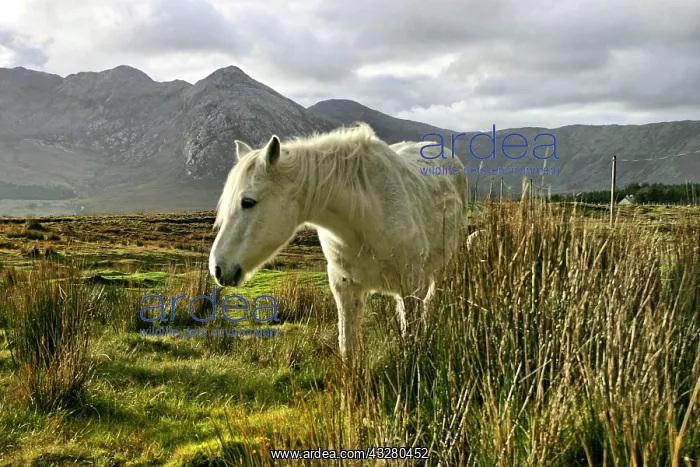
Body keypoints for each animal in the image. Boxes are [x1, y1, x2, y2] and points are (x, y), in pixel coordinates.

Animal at [209, 124, 470, 365]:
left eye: (248, 202)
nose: (218, 269)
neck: (363, 216)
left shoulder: (411, 287)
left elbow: (411, 343)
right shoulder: (345, 288)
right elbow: (349, 351)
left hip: (443, 270)